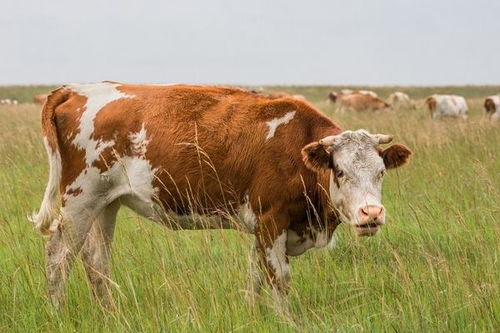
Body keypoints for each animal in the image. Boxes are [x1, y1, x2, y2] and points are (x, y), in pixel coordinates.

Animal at [30, 81, 410, 308]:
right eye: (340, 172)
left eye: (380, 173)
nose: (371, 214)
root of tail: (77, 88)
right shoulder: (271, 221)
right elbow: (279, 281)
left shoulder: (262, 230)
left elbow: (255, 278)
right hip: (80, 200)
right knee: (58, 257)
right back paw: (57, 311)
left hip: (106, 204)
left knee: (96, 260)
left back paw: (108, 312)